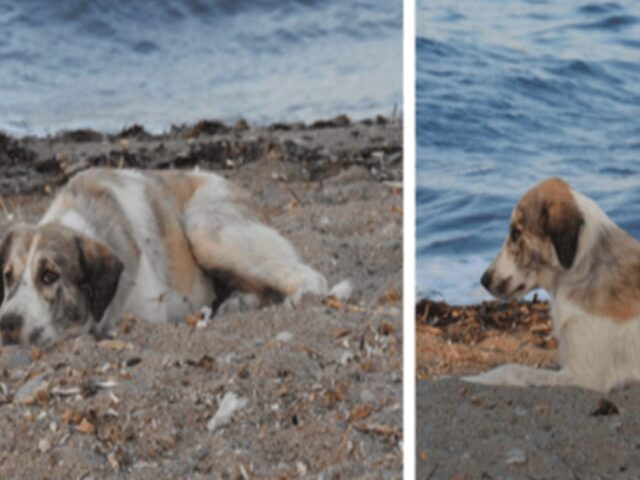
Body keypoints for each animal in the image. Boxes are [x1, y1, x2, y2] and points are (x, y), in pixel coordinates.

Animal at [462, 178, 640, 392]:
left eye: (516, 233)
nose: (484, 280)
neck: (583, 269)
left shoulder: (583, 376)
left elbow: (510, 369)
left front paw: (470, 379)